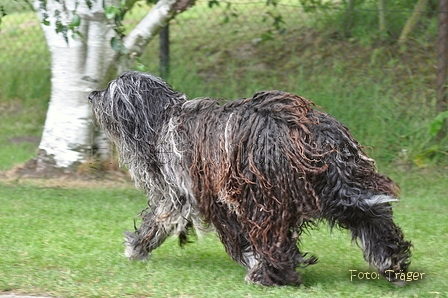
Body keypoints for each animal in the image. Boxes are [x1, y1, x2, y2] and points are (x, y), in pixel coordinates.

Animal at [89, 70, 412, 286]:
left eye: (110, 90)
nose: (91, 94)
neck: (161, 118)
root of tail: (305, 131)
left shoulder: (181, 193)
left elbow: (159, 220)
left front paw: (136, 247)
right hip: (338, 185)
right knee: (372, 216)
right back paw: (391, 259)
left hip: (263, 197)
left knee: (273, 240)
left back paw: (267, 274)